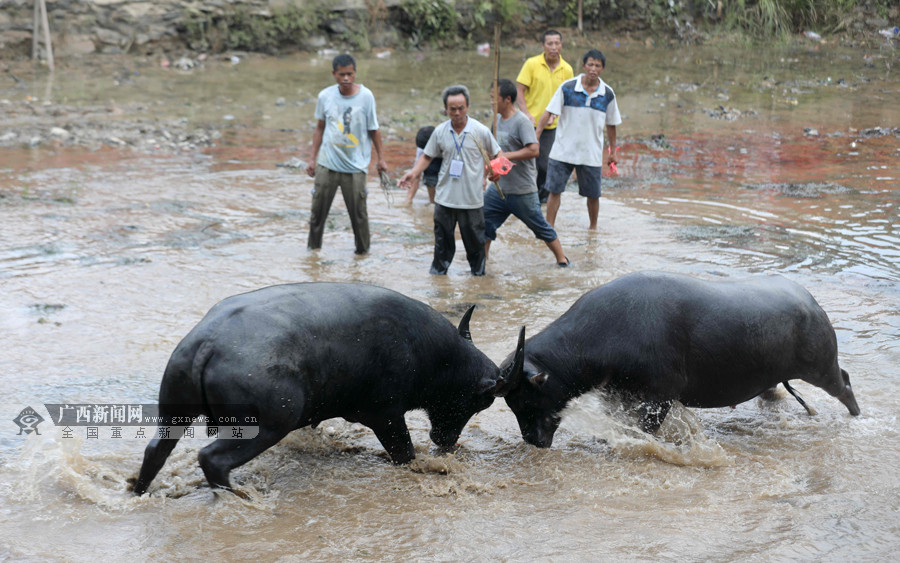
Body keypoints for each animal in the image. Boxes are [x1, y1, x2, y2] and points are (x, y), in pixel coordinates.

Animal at [130, 282, 516, 494]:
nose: (446, 441)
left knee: (155, 451)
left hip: (174, 413)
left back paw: (139, 490)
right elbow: (404, 452)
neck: (431, 351)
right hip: (266, 426)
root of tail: (207, 341)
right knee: (212, 459)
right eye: (480, 401)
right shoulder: (387, 416)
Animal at [496, 270, 860, 448]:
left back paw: (856, 416)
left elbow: (643, 432)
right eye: (511, 403)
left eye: (526, 399)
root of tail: (810, 301)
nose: (533, 441)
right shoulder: (619, 395)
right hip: (773, 377)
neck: (603, 335)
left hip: (822, 367)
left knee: (843, 382)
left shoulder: (658, 398)